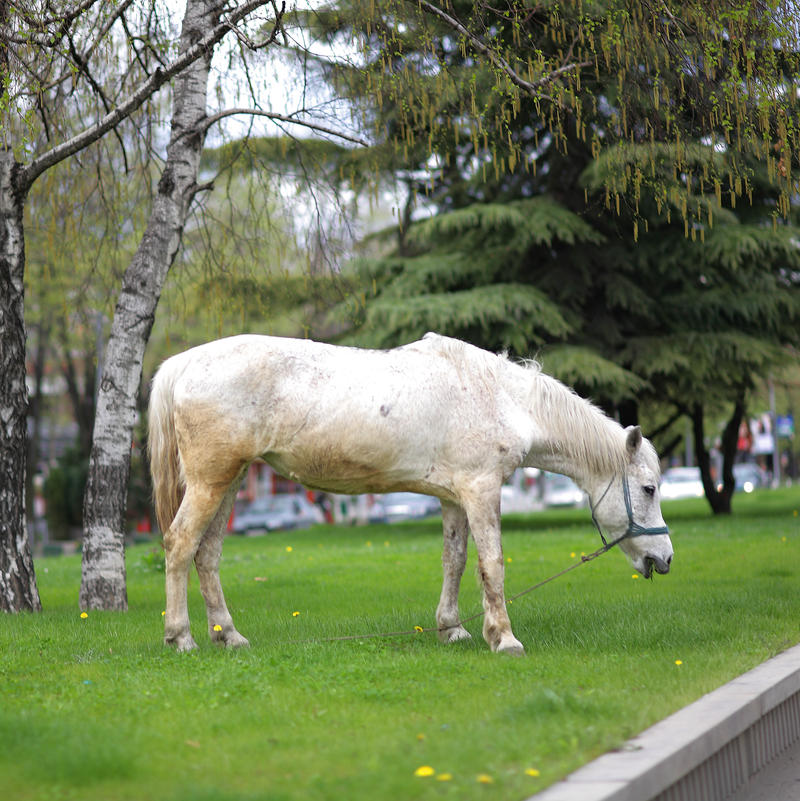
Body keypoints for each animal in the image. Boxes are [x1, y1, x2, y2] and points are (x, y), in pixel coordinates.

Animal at [147, 332, 672, 648]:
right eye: (648, 488)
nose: (665, 559)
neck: (500, 396)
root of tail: (186, 362)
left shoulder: (454, 498)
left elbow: (455, 561)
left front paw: (453, 628)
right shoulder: (482, 490)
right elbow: (492, 563)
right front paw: (504, 638)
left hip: (230, 482)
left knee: (207, 554)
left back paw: (229, 636)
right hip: (211, 482)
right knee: (179, 545)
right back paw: (181, 637)